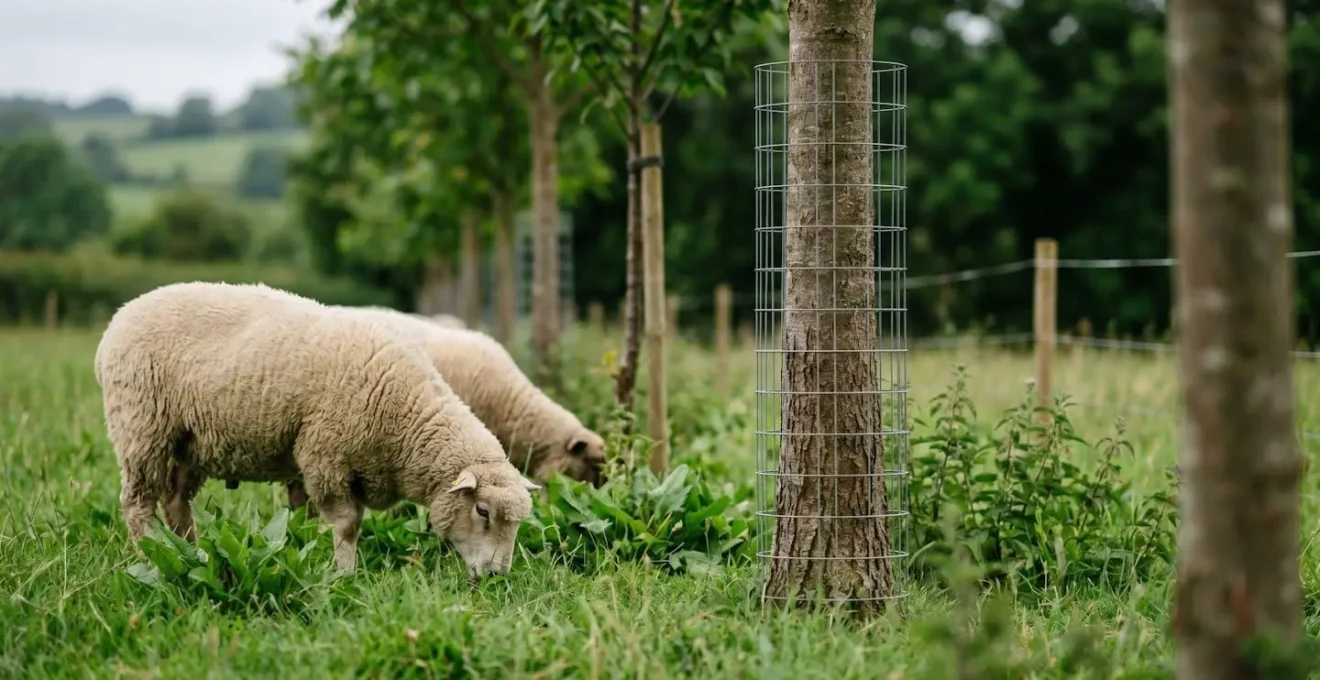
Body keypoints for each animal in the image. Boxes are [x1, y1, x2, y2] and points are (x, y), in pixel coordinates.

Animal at [94, 281, 539, 576]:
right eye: (482, 511)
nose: (498, 575)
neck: (404, 417)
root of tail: (119, 317)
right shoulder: (325, 456)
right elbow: (347, 525)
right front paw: (344, 575)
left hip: (193, 442)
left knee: (175, 500)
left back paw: (190, 553)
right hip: (141, 427)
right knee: (138, 502)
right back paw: (149, 556)